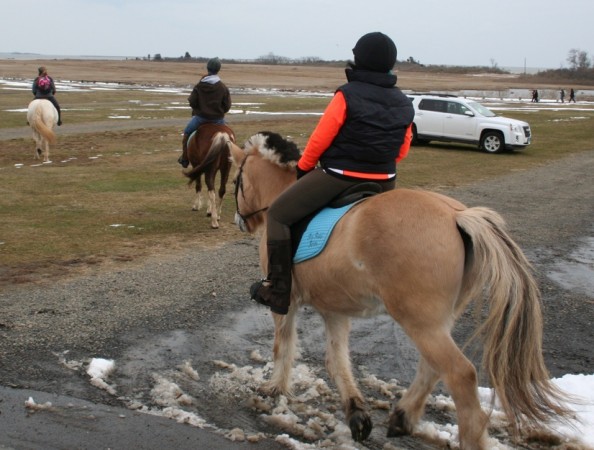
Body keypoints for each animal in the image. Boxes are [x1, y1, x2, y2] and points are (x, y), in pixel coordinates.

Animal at [225, 133, 568, 450]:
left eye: (236, 180)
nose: (239, 220)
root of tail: (456, 216)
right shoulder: (334, 308)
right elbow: (337, 359)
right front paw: (356, 413)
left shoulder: (286, 302)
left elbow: (283, 345)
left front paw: (274, 388)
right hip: (437, 321)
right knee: (432, 367)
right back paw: (402, 417)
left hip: (420, 321)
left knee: (460, 374)